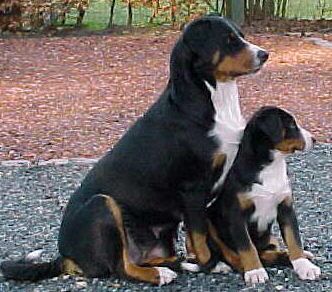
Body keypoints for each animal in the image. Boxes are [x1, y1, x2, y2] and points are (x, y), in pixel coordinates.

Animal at [0, 16, 268, 286]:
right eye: (229, 40)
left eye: (240, 35)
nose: (264, 54)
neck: (213, 102)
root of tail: (65, 256)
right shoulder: (193, 188)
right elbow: (200, 236)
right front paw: (212, 265)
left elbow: (207, 237)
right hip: (103, 205)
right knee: (122, 267)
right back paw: (160, 274)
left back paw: (176, 264)